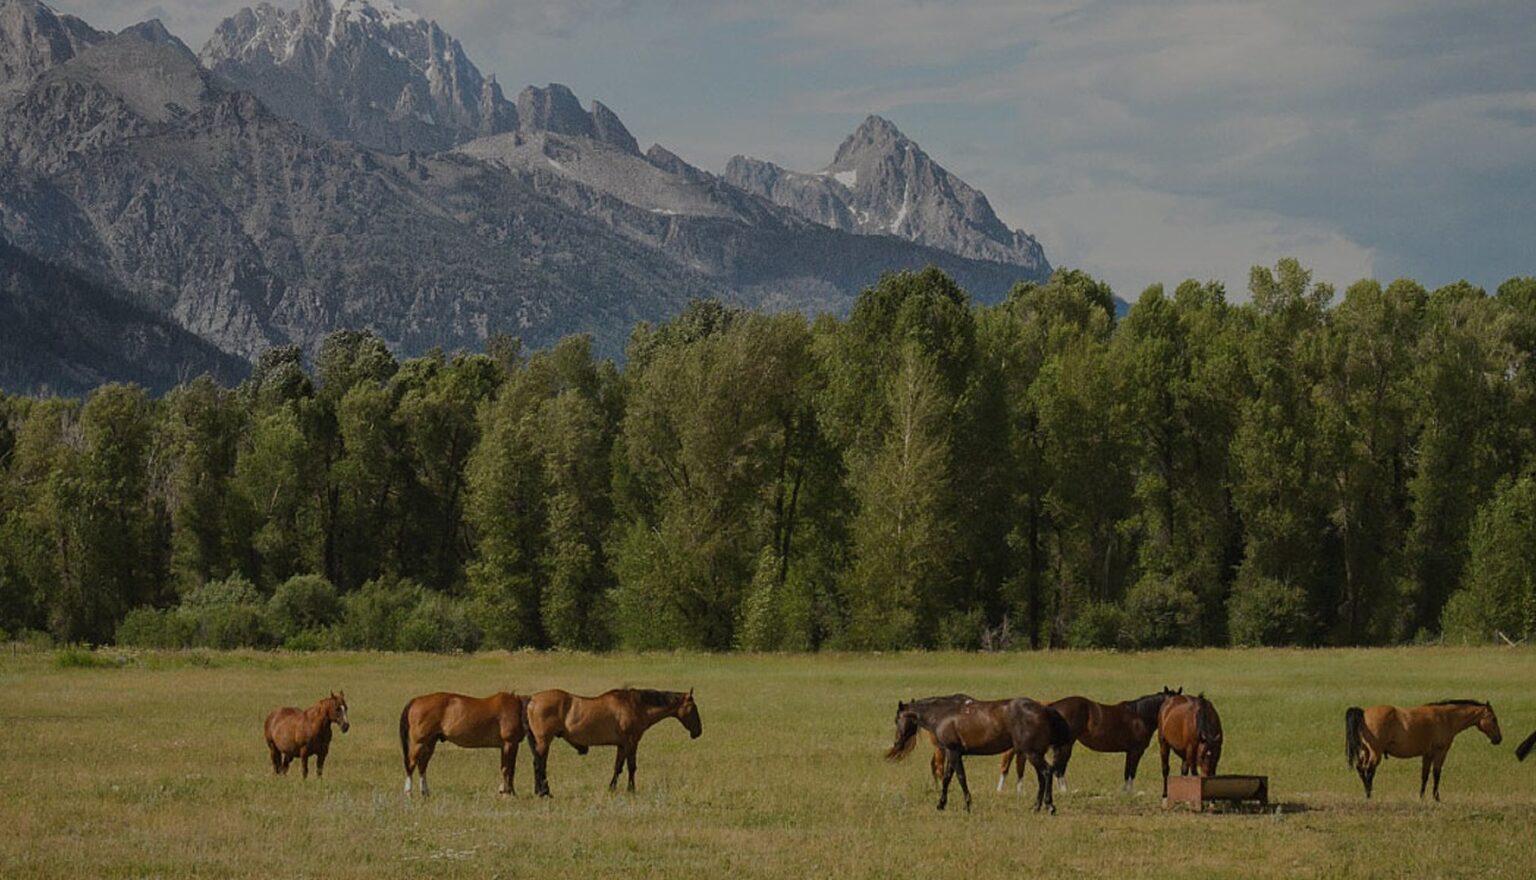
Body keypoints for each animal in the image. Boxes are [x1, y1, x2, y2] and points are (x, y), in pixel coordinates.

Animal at [524, 688, 701, 797]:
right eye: (693, 708)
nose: (698, 731)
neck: (636, 705)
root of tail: (532, 700)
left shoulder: (622, 745)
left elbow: (618, 767)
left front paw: (612, 788)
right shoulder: (631, 743)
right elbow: (631, 767)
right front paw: (631, 789)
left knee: (538, 764)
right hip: (544, 742)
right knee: (539, 765)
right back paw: (544, 792)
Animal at [888, 695, 1073, 812]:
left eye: (897, 719)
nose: (897, 743)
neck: (943, 714)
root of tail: (1044, 709)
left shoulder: (953, 752)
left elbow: (961, 777)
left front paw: (967, 805)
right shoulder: (953, 753)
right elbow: (947, 778)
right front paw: (941, 804)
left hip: (1032, 753)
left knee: (1046, 772)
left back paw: (1049, 806)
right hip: (1033, 754)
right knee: (1042, 776)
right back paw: (1036, 807)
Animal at [997, 686, 1182, 794]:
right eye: (1172, 701)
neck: (1139, 715)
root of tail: (1051, 707)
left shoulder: (1129, 751)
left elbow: (1126, 771)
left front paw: (1124, 792)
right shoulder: (1136, 751)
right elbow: (1131, 772)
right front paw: (1130, 792)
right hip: (1066, 746)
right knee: (1059, 768)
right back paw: (1064, 791)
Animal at [1345, 700, 1503, 800]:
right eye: (1494, 719)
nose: (1499, 739)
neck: (1446, 718)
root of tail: (1364, 713)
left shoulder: (1427, 755)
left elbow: (1425, 775)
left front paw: (1421, 797)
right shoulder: (1440, 753)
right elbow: (1437, 774)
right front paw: (1436, 797)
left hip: (1365, 751)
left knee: (1360, 768)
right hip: (1375, 753)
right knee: (1369, 771)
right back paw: (1369, 794)